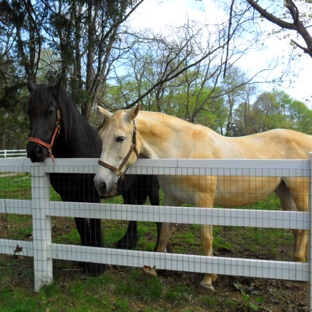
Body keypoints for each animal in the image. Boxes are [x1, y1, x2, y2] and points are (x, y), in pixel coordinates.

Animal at [25, 78, 169, 276]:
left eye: (50, 111)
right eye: (29, 113)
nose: (34, 151)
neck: (77, 155)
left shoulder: (93, 197)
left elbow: (93, 227)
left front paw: (97, 266)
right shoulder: (70, 198)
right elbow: (81, 227)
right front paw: (85, 260)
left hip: (151, 188)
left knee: (158, 217)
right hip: (128, 188)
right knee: (134, 208)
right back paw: (128, 242)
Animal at [94, 105, 308, 292]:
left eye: (120, 138)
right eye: (102, 137)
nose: (100, 183)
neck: (181, 151)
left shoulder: (204, 202)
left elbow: (206, 238)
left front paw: (208, 280)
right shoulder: (171, 199)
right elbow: (164, 232)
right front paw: (153, 270)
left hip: (299, 191)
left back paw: (299, 262)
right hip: (284, 192)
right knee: (296, 228)